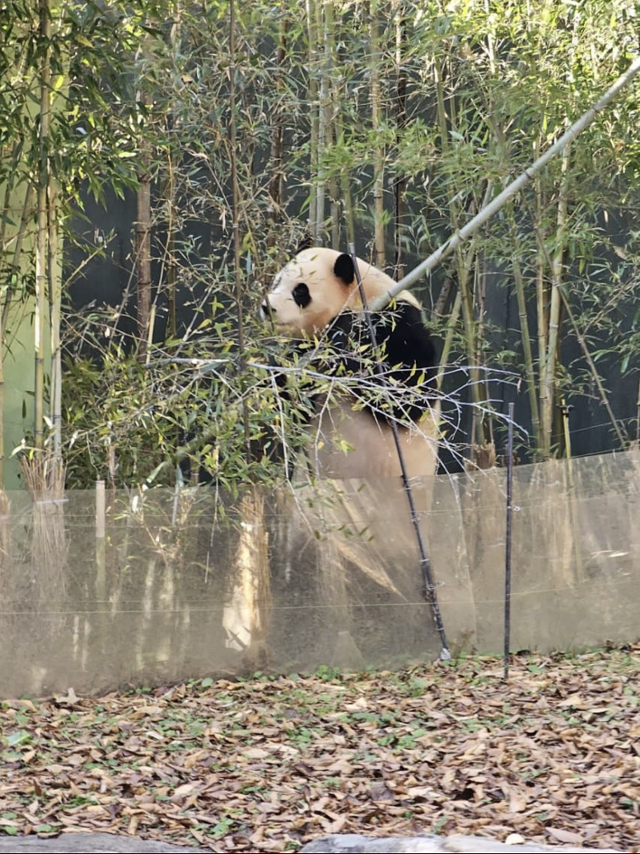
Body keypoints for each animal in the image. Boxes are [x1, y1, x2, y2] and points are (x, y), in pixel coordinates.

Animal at [262, 247, 442, 482]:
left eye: (300, 291)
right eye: (277, 282)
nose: (267, 307)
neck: (360, 296)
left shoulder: (399, 319)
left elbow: (406, 397)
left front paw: (340, 329)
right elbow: (290, 408)